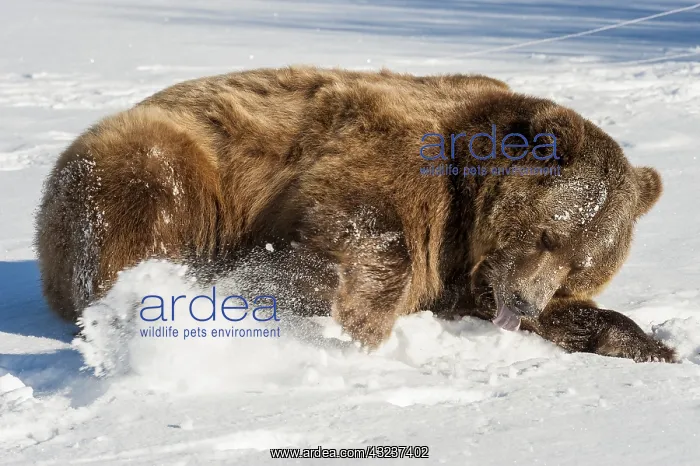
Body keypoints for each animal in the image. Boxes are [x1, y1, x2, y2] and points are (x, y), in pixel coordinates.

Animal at [35, 66, 675, 362]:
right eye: (545, 233)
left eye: (581, 263)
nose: (525, 303)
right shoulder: (388, 156)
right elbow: (368, 232)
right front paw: (341, 321)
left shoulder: (468, 272)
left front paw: (650, 343)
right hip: (165, 158)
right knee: (146, 205)